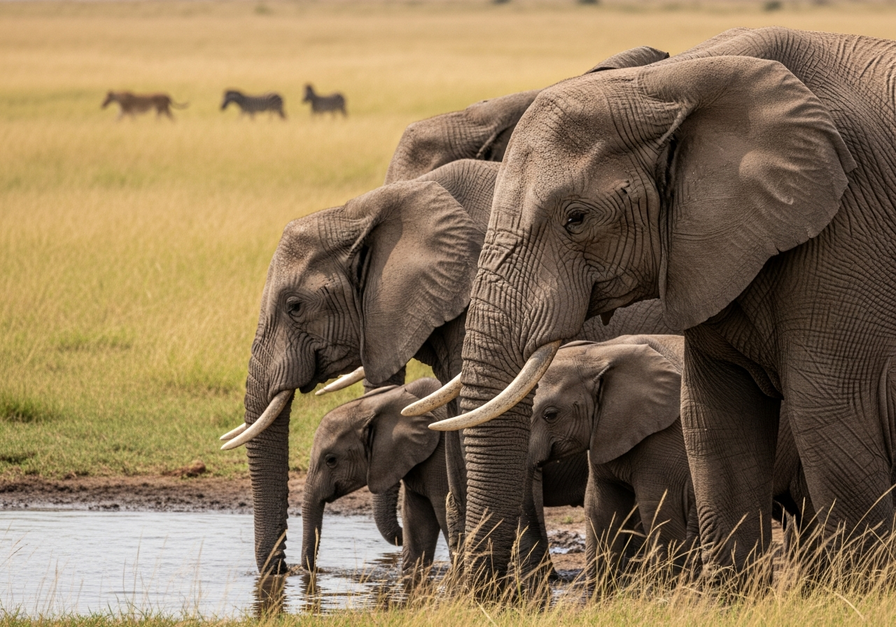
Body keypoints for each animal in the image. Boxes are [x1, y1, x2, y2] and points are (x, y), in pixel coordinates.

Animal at [430, 25, 896, 582]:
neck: (669, 81)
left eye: (577, 219)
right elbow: (715, 425)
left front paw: (862, 593)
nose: (483, 591)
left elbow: (830, 412)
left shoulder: (848, 231)